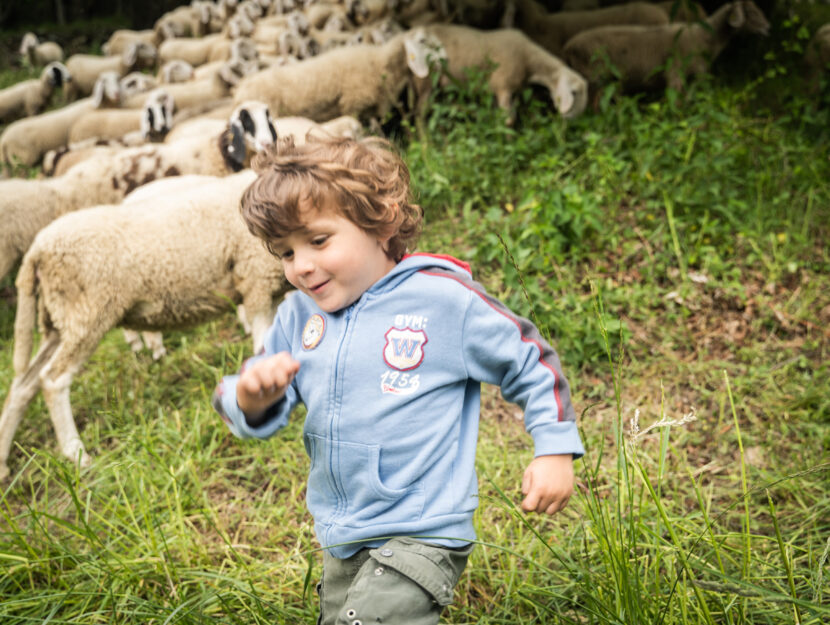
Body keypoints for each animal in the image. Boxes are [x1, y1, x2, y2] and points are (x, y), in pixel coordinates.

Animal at [412, 25, 588, 122]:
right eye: (575, 93)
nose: (570, 120)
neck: (529, 59)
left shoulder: (511, 91)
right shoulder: (503, 86)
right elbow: (508, 120)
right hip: (426, 77)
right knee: (420, 114)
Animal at [564, 0, 772, 94]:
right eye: (751, 12)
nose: (768, 27)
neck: (704, 37)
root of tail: (568, 46)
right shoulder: (676, 75)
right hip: (595, 78)